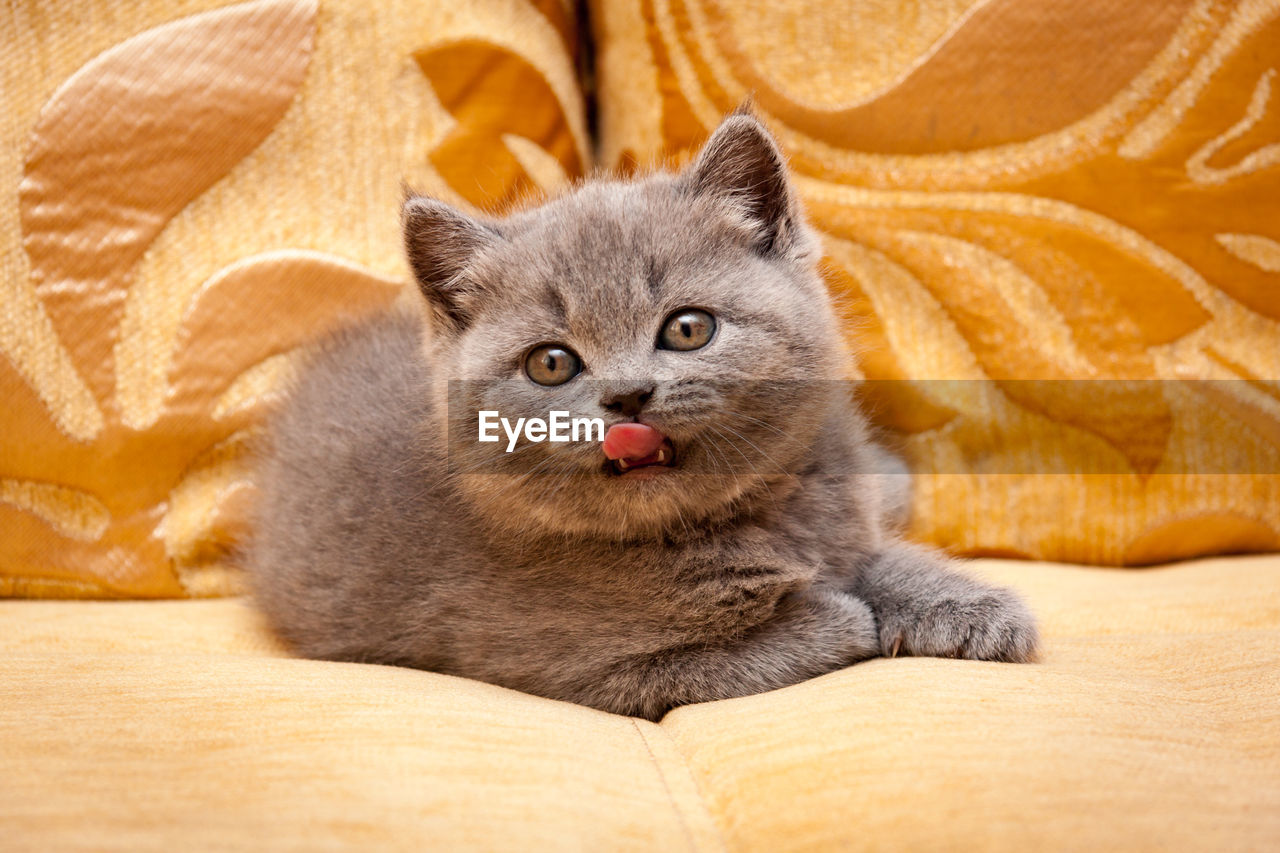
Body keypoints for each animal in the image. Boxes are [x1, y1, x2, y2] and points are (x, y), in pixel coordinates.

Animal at [249, 109, 1039, 712]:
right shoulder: (580, 670)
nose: (628, 397)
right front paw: (835, 612)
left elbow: (884, 557)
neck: (727, 524)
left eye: (688, 329)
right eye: (551, 363)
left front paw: (972, 611)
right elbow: (751, 650)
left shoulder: (843, 521)